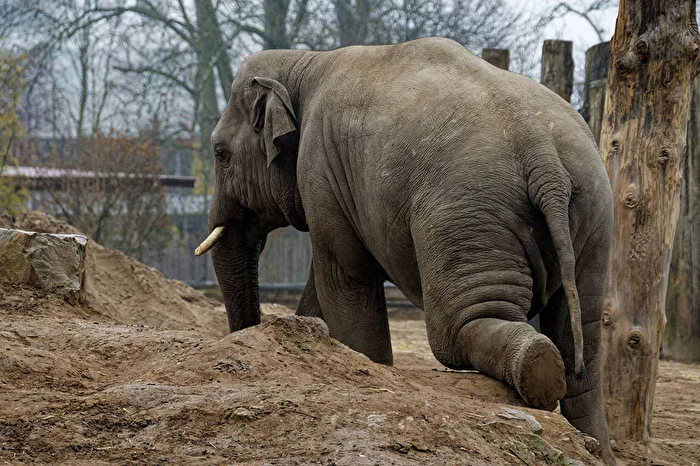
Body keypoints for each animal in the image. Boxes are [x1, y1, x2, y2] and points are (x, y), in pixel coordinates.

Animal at [195, 37, 615, 465]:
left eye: (219, 154)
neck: (305, 62)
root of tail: (543, 156)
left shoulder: (321, 170)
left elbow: (345, 275)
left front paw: (368, 365)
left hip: (465, 214)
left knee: (456, 328)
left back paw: (537, 368)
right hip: (593, 215)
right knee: (581, 345)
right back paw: (593, 439)